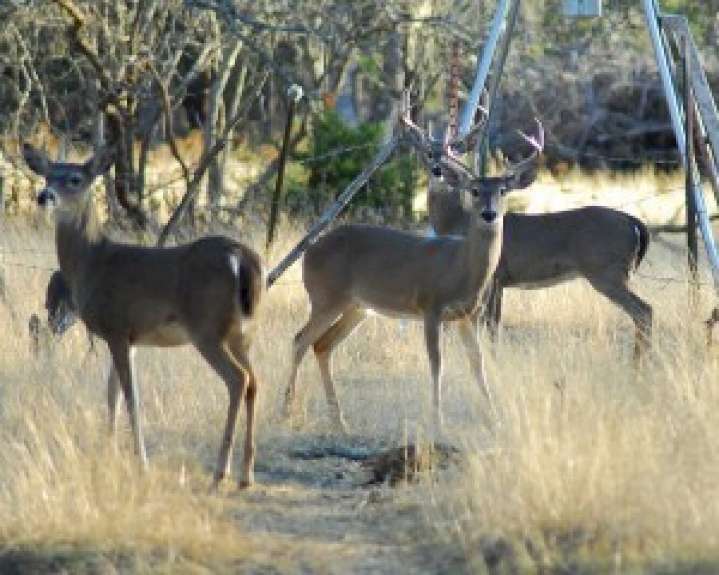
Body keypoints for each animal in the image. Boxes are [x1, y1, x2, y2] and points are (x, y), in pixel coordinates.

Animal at [23, 144, 264, 489]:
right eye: (46, 175)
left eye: (74, 179)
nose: (45, 196)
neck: (92, 263)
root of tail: (241, 257)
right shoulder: (128, 337)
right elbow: (111, 394)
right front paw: (109, 449)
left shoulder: (117, 327)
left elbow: (130, 397)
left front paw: (141, 461)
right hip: (242, 332)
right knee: (255, 381)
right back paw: (246, 474)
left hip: (207, 329)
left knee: (238, 379)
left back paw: (221, 473)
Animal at [283, 113, 543, 433]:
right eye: (474, 191)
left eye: (502, 191)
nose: (489, 214)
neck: (462, 268)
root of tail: (309, 252)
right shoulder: (430, 306)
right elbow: (437, 363)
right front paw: (437, 420)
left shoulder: (466, 315)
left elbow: (478, 363)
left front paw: (493, 417)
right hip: (325, 297)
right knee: (300, 339)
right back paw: (287, 411)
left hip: (357, 307)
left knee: (322, 345)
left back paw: (340, 422)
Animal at [407, 126, 653, 361]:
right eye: (474, 190)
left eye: (502, 191)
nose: (438, 169)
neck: (459, 222)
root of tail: (633, 222)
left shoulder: (495, 277)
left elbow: (490, 324)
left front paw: (494, 359)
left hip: (606, 271)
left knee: (644, 310)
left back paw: (639, 365)